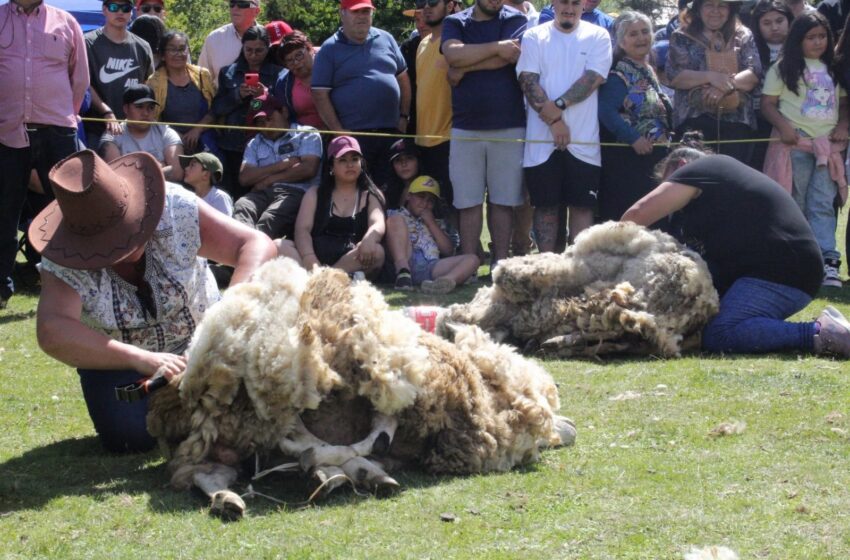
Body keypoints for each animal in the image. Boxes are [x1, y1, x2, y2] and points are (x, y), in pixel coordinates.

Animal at [147, 260, 576, 520]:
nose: (569, 427)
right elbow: (372, 430)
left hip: (226, 443)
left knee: (203, 473)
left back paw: (235, 499)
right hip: (280, 408)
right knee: (299, 435)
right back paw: (341, 472)